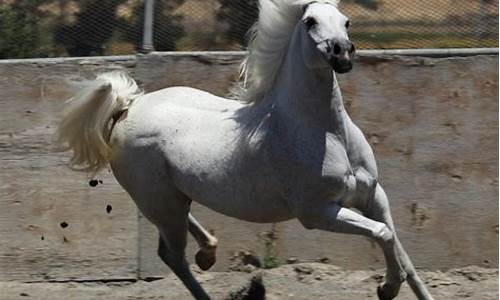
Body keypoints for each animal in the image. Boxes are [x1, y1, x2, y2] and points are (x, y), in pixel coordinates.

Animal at [57, 1, 434, 298]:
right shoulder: (318, 212)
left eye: (346, 20)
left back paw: (208, 252)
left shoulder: (373, 196)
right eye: (311, 21)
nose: (342, 53)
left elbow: (401, 251)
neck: (328, 133)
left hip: (170, 197)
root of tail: (128, 107)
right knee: (171, 256)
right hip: (157, 201)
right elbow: (384, 234)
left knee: (181, 232)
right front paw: (387, 288)